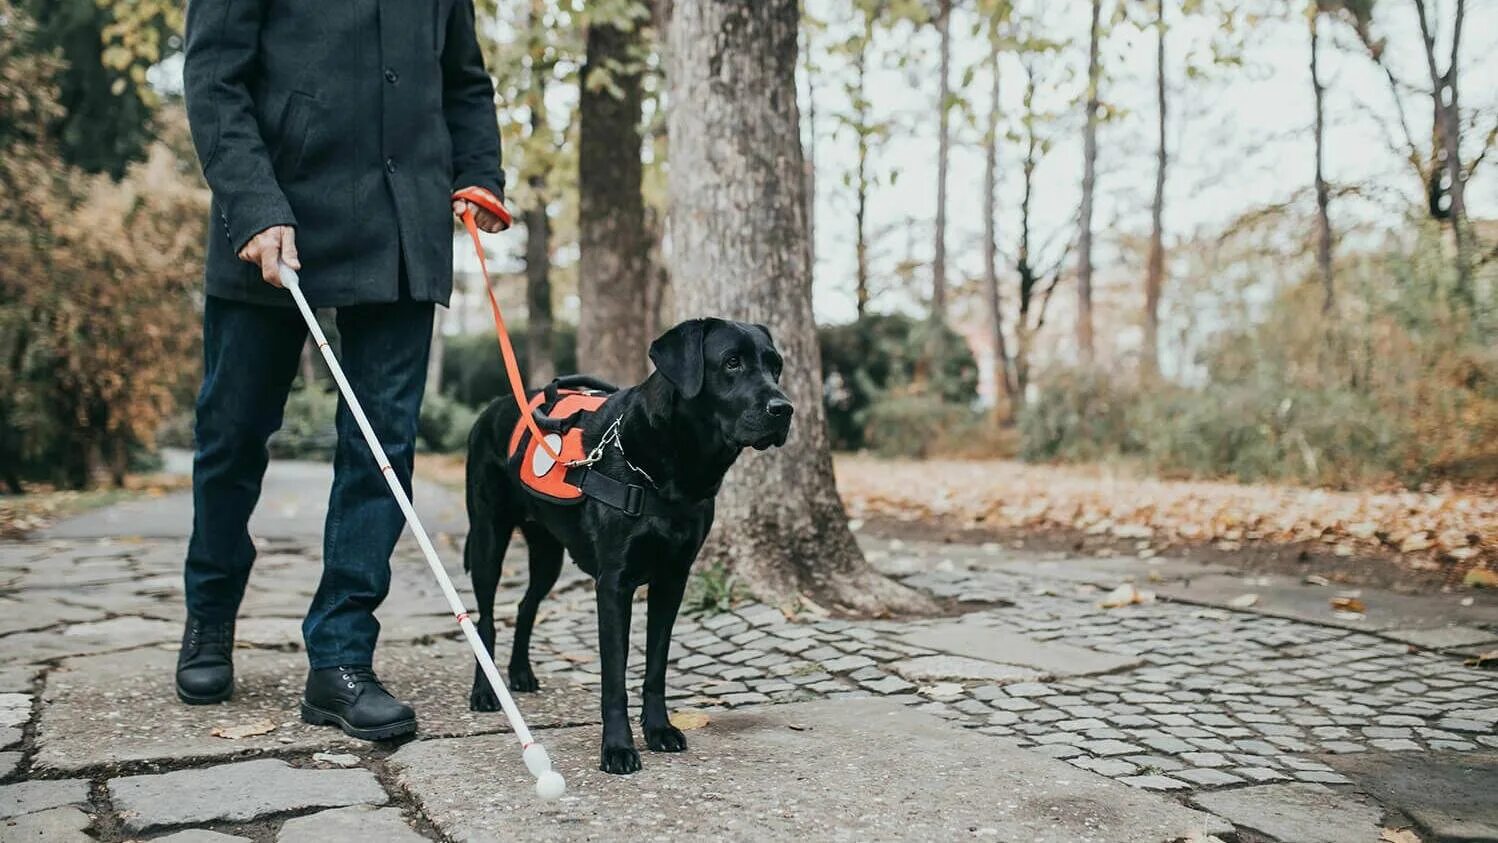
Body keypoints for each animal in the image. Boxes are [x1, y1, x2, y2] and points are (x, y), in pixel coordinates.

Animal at [464, 320, 796, 772]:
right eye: (732, 362)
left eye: (775, 367)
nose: (785, 409)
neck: (674, 469)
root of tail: (492, 407)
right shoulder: (613, 585)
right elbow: (614, 678)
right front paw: (618, 747)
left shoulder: (673, 579)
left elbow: (655, 667)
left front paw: (658, 729)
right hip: (488, 539)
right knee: (485, 618)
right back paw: (485, 691)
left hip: (548, 553)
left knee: (526, 605)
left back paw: (521, 674)